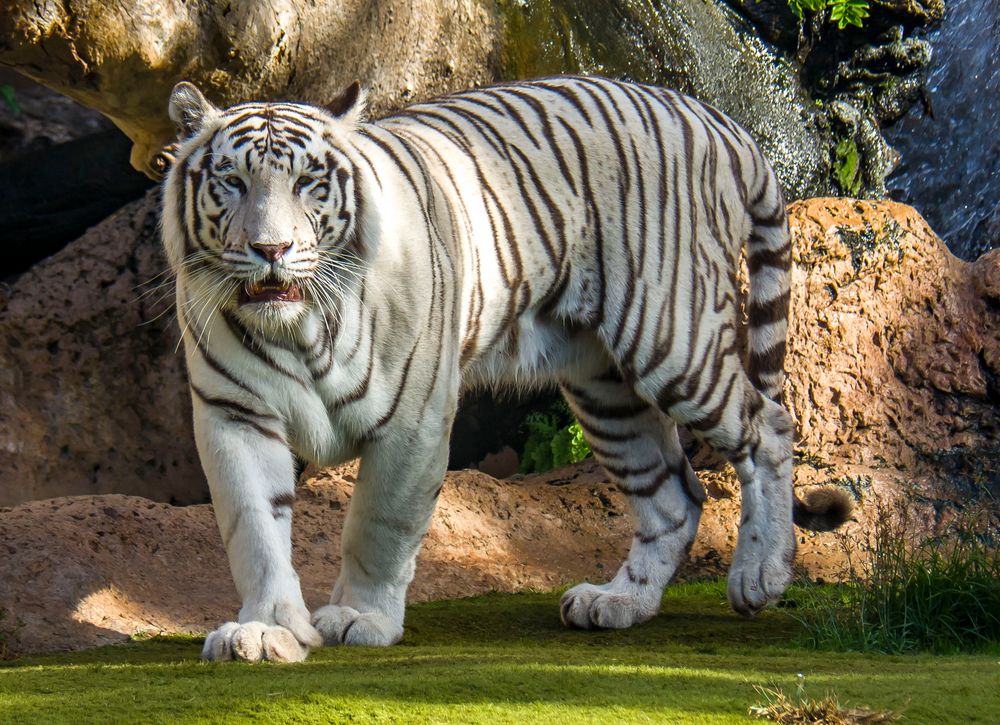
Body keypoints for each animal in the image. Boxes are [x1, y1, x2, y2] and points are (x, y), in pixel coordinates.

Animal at [161, 75, 851, 663]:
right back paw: (618, 602)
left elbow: (380, 526)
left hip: (672, 336)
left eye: (307, 181)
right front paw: (265, 630)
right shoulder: (235, 416)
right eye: (231, 181)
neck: (301, 328)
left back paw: (760, 576)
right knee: (675, 494)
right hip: (605, 387)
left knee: (769, 426)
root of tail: (712, 116)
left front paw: (361, 618)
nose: (271, 249)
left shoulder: (414, 419)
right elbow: (255, 530)